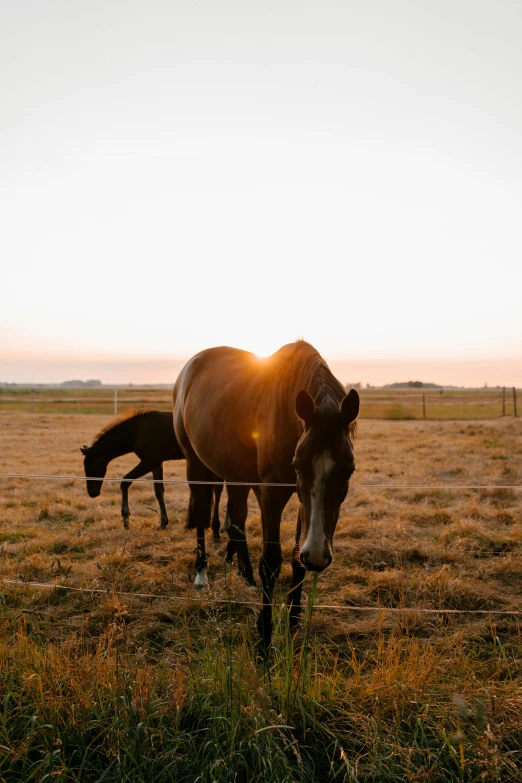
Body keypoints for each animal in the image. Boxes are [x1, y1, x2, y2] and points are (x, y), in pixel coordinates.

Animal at [80, 410, 222, 532]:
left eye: (89, 466)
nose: (92, 493)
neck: (138, 431)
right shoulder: (156, 464)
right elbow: (158, 491)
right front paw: (163, 522)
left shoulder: (150, 461)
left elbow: (125, 482)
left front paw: (126, 520)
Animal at [173, 340, 360, 648]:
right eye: (298, 465)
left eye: (349, 469)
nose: (318, 557)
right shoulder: (272, 492)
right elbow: (271, 562)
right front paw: (264, 637)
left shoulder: (301, 501)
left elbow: (297, 559)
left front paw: (293, 626)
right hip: (195, 463)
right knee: (201, 513)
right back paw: (201, 573)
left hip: (236, 474)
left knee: (237, 516)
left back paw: (245, 574)